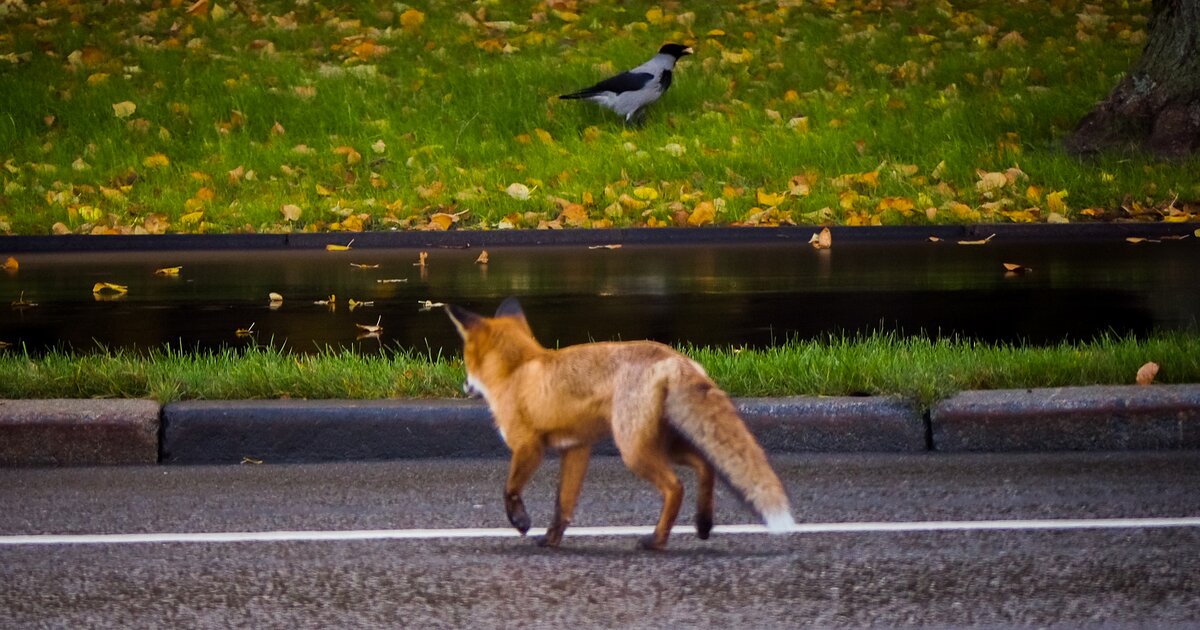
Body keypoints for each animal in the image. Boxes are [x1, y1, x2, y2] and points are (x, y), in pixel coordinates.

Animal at [446, 297, 792, 547]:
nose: (464, 387)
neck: (517, 370)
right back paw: (703, 524)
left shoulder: (528, 446)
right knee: (706, 465)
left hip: (633, 450)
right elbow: (563, 504)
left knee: (675, 487)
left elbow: (510, 489)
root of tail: (674, 357)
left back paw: (657, 540)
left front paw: (521, 522)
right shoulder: (576, 448)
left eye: (465, 360)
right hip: (662, 444)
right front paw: (551, 540)